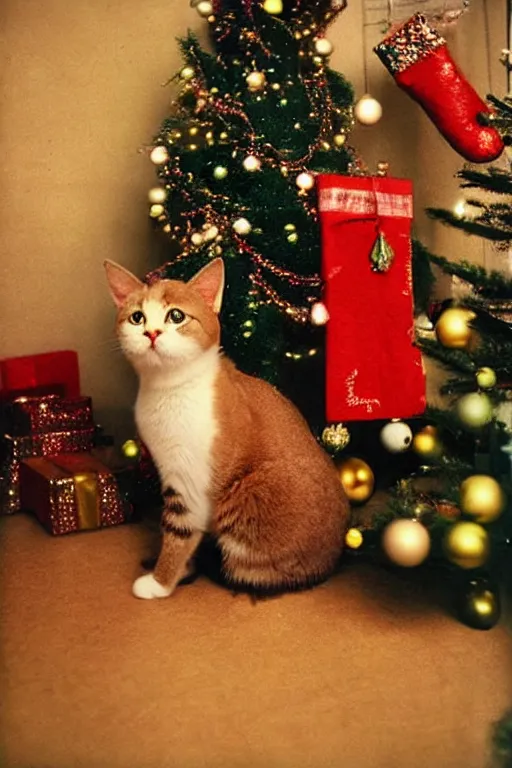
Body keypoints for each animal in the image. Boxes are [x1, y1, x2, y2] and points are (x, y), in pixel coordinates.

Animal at [105, 258, 352, 600]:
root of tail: (333, 561)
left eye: (176, 316)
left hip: (250, 491)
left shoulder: (189, 479)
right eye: (136, 317)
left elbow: (178, 531)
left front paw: (161, 580)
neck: (169, 389)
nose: (151, 333)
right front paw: (181, 569)